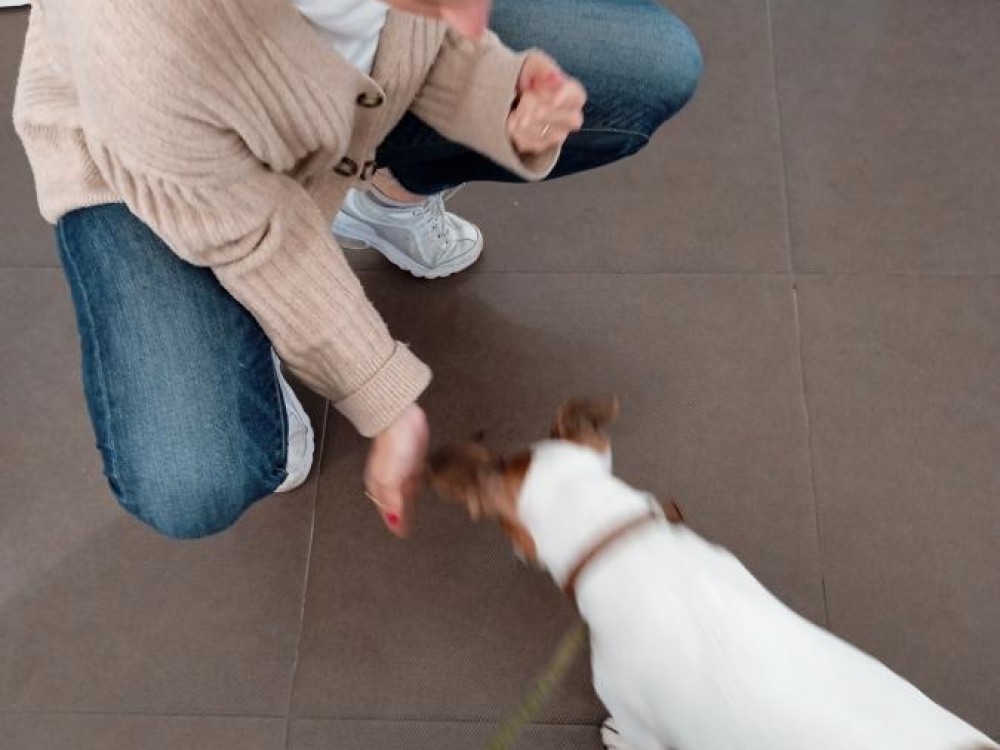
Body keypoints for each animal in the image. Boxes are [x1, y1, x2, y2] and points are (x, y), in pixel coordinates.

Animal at [428, 397, 998, 750]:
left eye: (505, 530)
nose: (516, 555)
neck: (619, 540)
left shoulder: (639, 718)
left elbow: (632, 736)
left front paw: (614, 738)